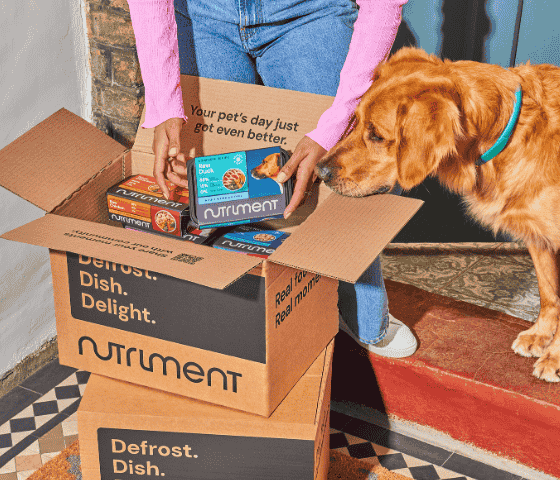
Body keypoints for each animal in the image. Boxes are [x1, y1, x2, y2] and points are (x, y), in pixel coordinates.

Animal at [318, 46, 560, 382]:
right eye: (355, 120)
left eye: (377, 135)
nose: (320, 171)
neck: (507, 134)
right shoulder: (538, 236)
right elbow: (549, 294)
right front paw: (540, 335)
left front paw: (555, 357)